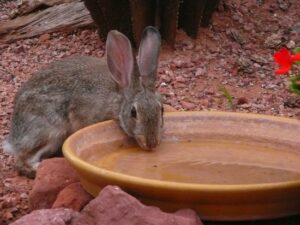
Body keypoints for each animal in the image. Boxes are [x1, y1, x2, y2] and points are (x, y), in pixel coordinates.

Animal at [2, 25, 164, 178]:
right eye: (133, 112)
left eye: (161, 108)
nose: (151, 143)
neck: (119, 99)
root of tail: (14, 137)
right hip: (51, 131)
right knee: (22, 160)